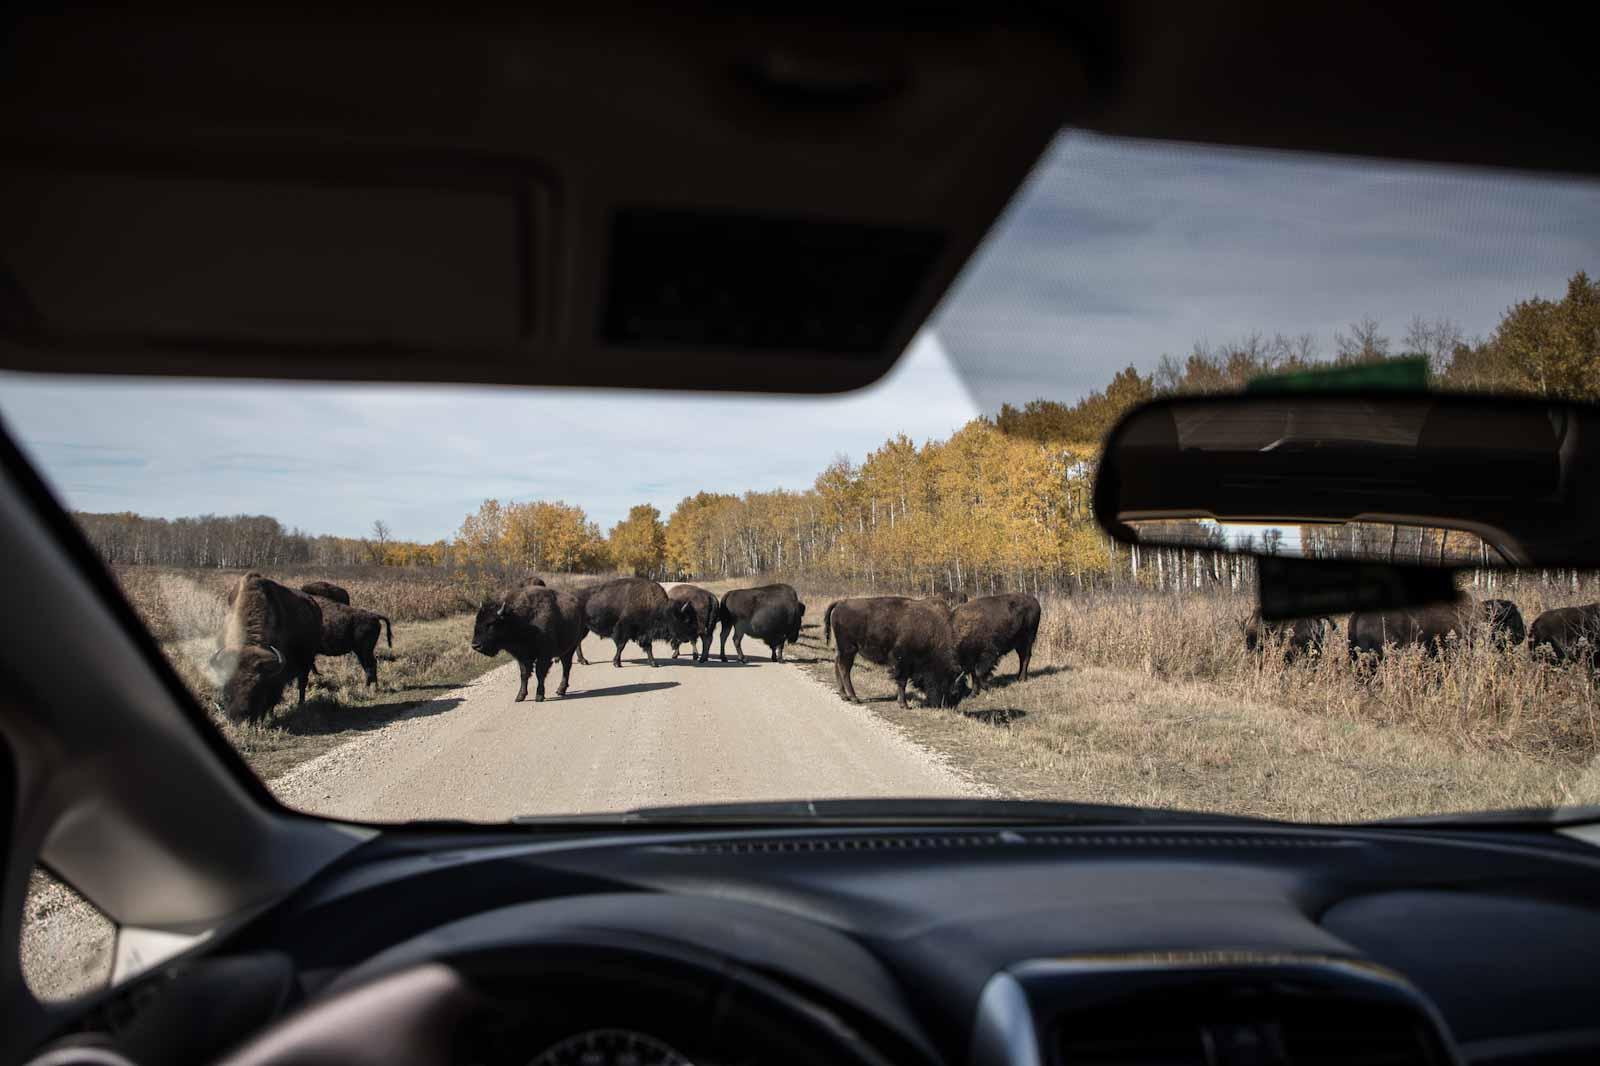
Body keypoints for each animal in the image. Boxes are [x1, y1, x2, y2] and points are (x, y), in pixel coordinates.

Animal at [212, 569, 324, 717]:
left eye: (256, 687)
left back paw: (300, 705)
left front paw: (269, 716)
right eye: (227, 687)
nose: (239, 714)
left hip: (307, 662)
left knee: (302, 684)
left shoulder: (277, 679)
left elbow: (272, 699)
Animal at [819, 598, 966, 704]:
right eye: (954, 692)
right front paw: (904, 704)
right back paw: (854, 698)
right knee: (844, 669)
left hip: (843, 649)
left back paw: (844, 695)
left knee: (837, 664)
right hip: (849, 649)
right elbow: (902, 681)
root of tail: (840, 603)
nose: (944, 705)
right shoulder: (903, 662)